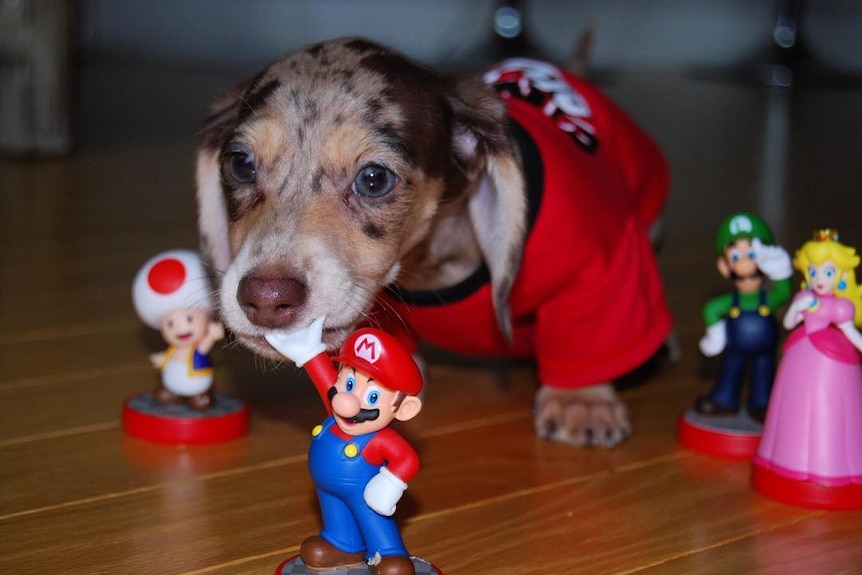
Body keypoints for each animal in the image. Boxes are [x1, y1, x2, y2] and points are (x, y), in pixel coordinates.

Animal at [196, 38, 676, 448]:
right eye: (240, 164)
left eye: (374, 179)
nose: (265, 299)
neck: (433, 265)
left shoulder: (602, 260)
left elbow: (590, 331)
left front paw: (583, 401)